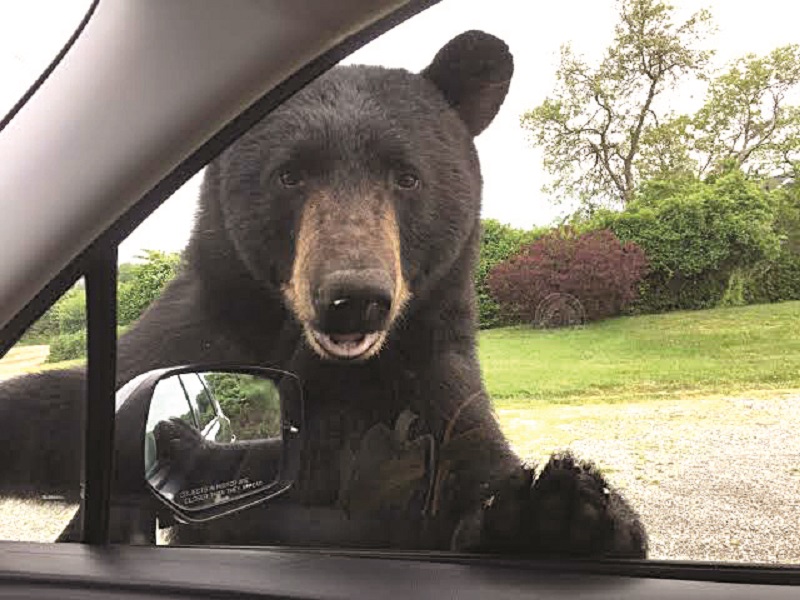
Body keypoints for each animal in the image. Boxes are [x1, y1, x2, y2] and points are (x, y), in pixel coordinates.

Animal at [0, 31, 648, 556]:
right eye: (290, 174)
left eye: (406, 176)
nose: (353, 296)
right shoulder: (188, 337)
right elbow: (72, 411)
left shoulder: (428, 375)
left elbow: (470, 467)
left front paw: (561, 511)